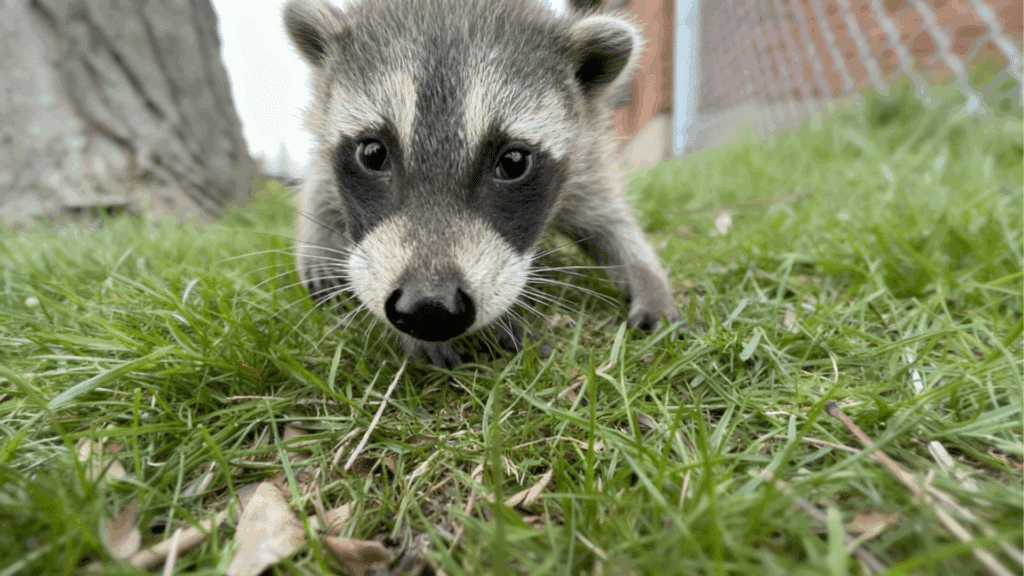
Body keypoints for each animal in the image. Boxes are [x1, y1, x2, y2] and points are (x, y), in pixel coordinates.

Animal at [284, 0, 680, 368]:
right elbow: (325, 191)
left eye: (513, 162)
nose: (428, 307)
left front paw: (648, 277)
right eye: (372, 154)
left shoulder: (584, 157)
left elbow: (610, 220)